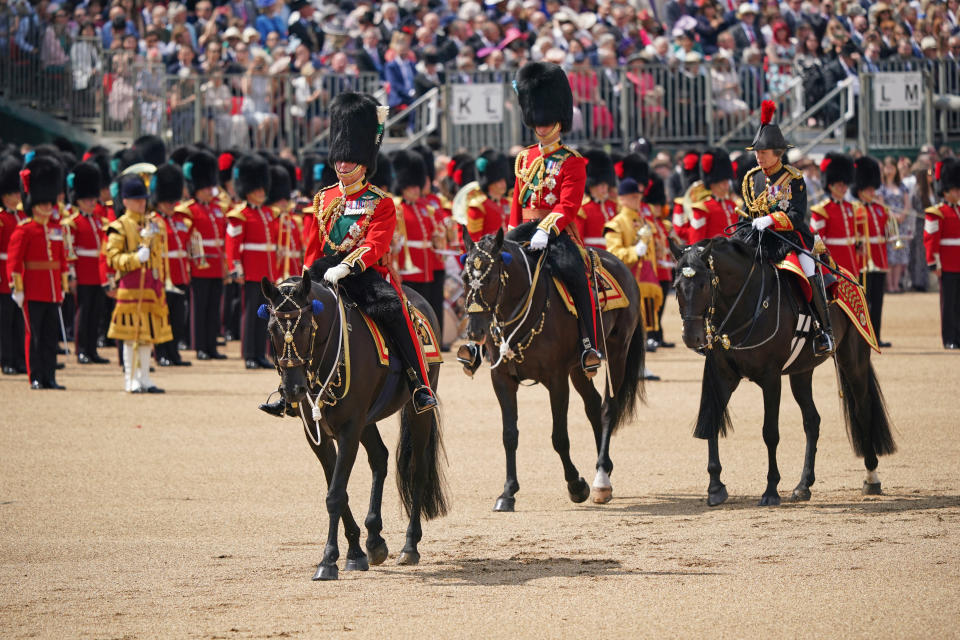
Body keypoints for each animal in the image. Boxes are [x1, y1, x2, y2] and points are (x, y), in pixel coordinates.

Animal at [258, 270, 446, 580]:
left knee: (417, 469)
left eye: (306, 326)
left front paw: (328, 561)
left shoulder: (349, 429)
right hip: (366, 421)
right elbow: (338, 489)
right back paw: (375, 539)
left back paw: (410, 545)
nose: (293, 390)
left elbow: (335, 494)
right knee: (380, 458)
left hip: (417, 411)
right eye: (272, 328)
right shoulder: (318, 434)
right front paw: (356, 552)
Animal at [460, 228, 644, 512]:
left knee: (608, 408)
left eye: (489, 278)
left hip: (616, 353)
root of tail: (620, 264)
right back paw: (604, 470)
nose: (474, 332)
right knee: (594, 405)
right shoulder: (501, 379)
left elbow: (559, 437)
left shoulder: (556, 379)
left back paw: (601, 478)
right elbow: (509, 435)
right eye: (465, 278)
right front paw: (508, 492)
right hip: (579, 368)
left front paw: (576, 485)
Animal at [672, 238, 896, 508]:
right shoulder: (721, 375)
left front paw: (771, 490)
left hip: (853, 361)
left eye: (704, 284)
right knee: (812, 421)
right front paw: (715, 487)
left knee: (863, 411)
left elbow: (770, 432)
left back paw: (871, 476)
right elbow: (711, 421)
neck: (744, 305)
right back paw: (803, 485)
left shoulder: (771, 378)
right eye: (676, 286)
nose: (691, 337)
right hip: (802, 372)